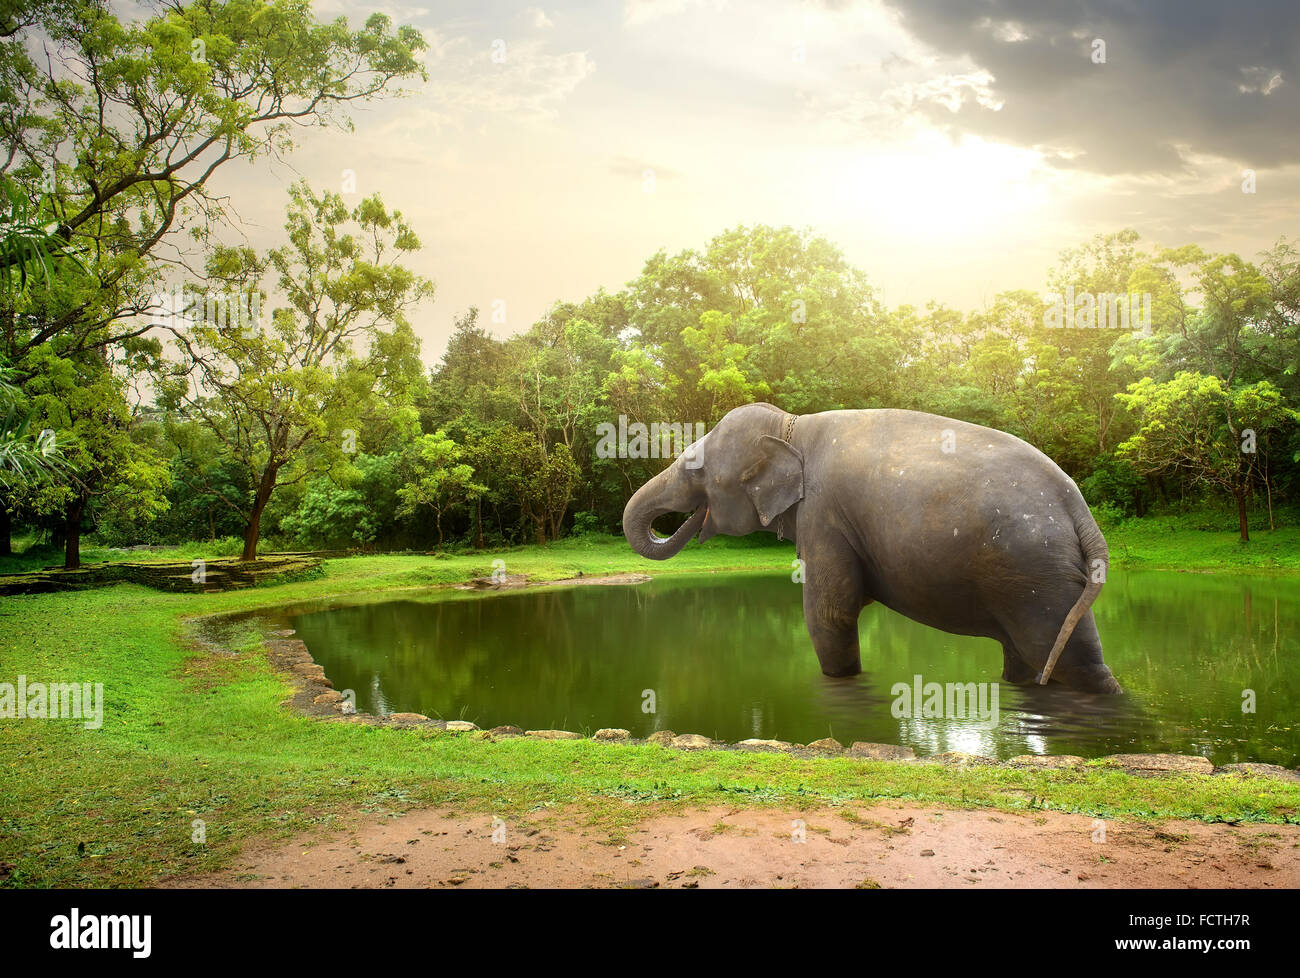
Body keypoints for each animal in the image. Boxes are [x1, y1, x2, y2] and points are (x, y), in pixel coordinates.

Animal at [624, 405, 1123, 697]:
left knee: (1072, 659)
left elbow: (830, 612)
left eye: (695, 470)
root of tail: (1077, 505)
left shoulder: (824, 513)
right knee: (1029, 657)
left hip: (1036, 572)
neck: (791, 426)